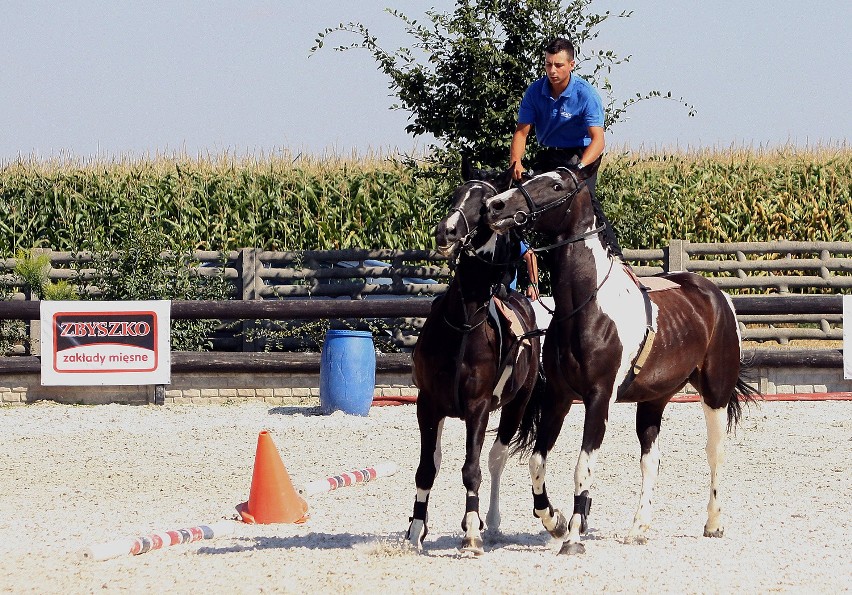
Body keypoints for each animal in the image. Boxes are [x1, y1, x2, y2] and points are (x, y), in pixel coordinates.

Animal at [408, 165, 544, 556]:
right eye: (456, 194)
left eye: (485, 206)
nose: (447, 230)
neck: (464, 322)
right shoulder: (428, 404)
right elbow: (427, 469)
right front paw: (414, 531)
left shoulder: (478, 407)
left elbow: (472, 469)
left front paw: (471, 531)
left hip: (516, 405)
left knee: (495, 459)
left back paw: (490, 521)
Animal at [486, 158, 760, 556]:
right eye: (530, 176)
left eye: (555, 186)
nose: (496, 206)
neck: (586, 307)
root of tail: (715, 295)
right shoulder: (558, 397)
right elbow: (537, 461)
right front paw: (554, 520)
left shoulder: (599, 399)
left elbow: (582, 467)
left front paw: (573, 537)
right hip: (653, 400)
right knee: (651, 461)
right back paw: (638, 528)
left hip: (715, 395)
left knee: (715, 453)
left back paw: (713, 523)